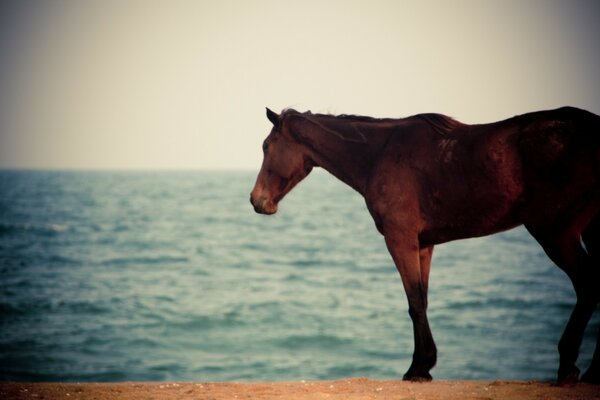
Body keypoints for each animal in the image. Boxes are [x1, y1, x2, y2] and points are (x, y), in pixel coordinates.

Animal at [248, 105, 600, 384]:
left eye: (266, 146)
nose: (256, 200)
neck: (379, 153)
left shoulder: (400, 239)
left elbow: (414, 301)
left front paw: (418, 369)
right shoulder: (423, 245)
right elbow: (424, 299)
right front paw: (425, 364)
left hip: (556, 232)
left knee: (587, 285)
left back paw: (568, 367)